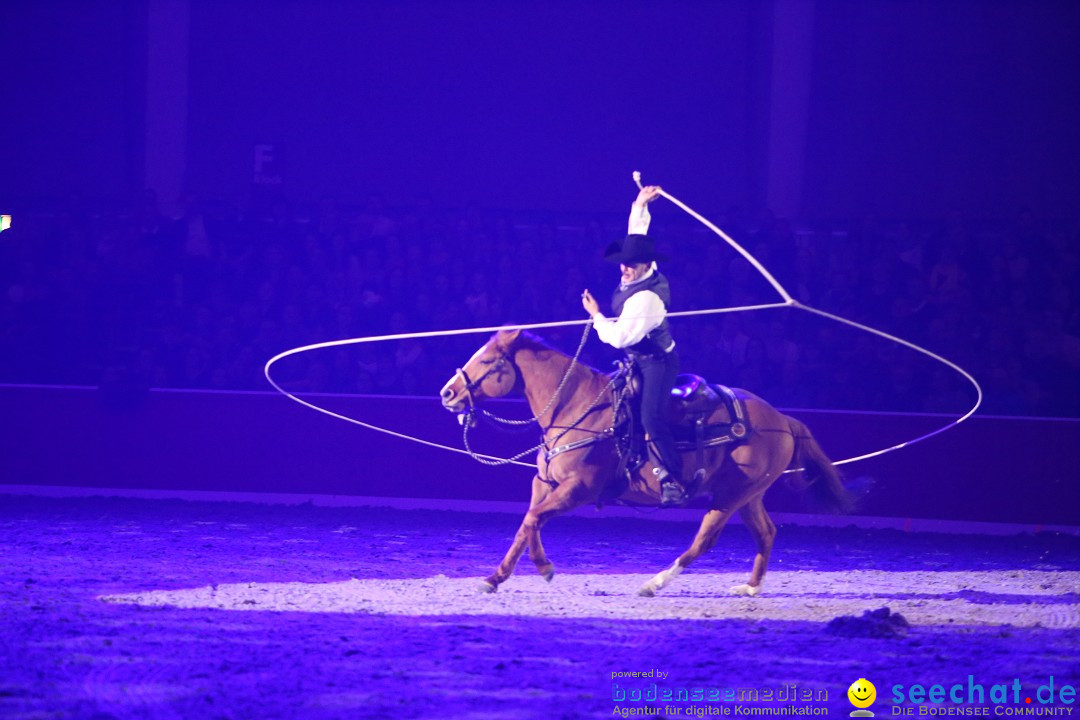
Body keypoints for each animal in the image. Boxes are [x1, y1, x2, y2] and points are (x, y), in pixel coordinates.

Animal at [434, 330, 846, 595]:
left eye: (488, 360)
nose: (447, 393)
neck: (577, 407)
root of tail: (782, 419)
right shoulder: (544, 484)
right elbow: (525, 525)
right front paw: (494, 578)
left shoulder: (579, 489)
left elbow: (534, 520)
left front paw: (546, 570)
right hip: (749, 495)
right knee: (767, 533)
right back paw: (749, 588)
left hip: (731, 495)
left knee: (705, 540)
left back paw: (655, 583)